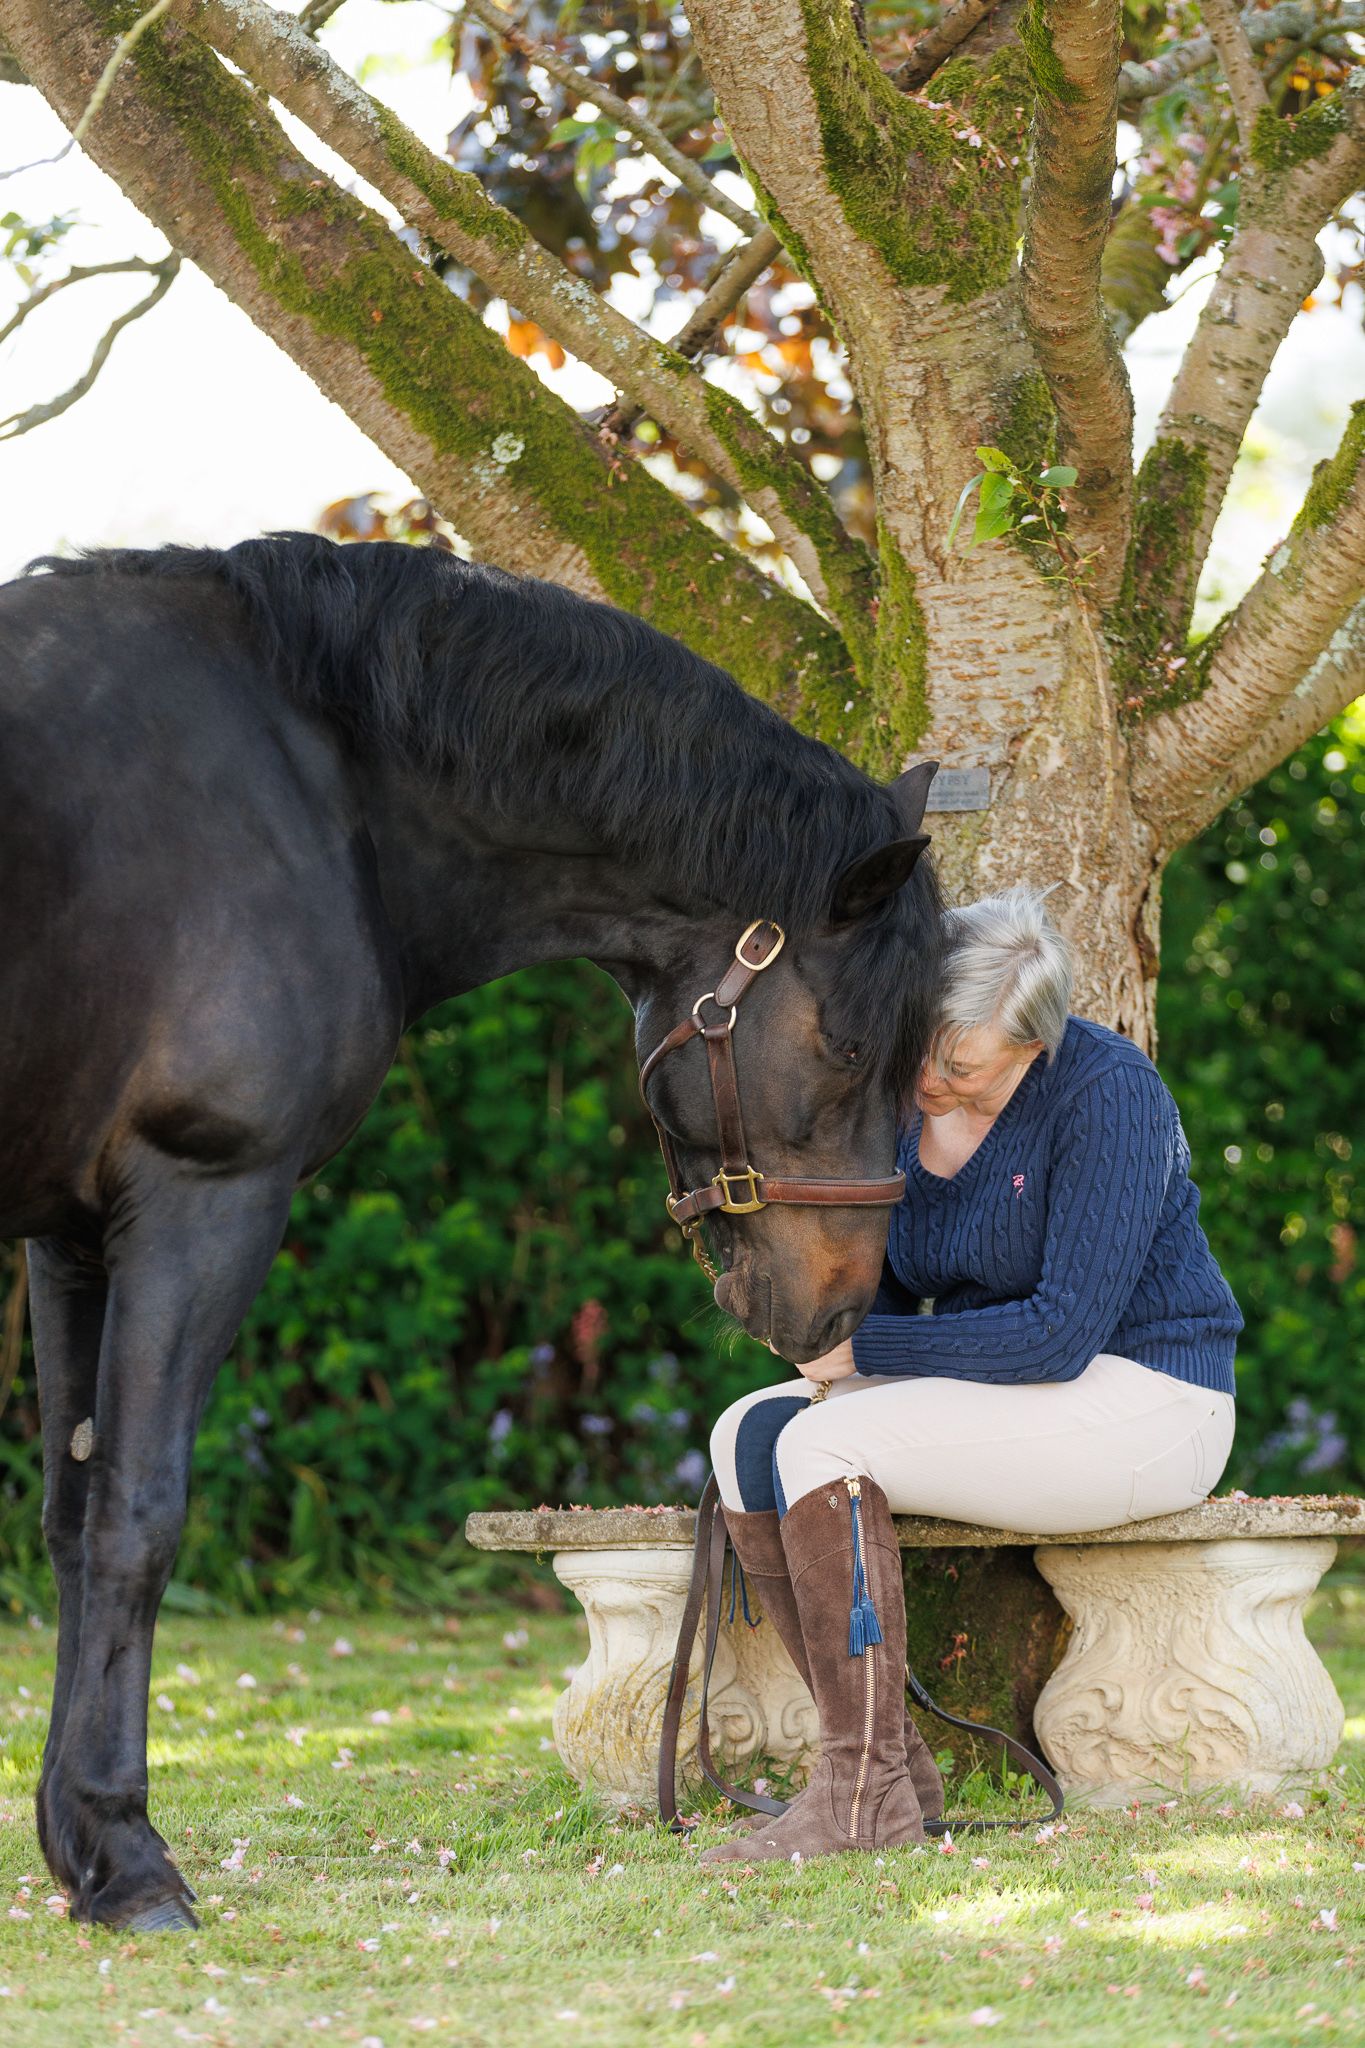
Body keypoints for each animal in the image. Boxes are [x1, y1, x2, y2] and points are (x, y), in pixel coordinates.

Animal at [0, 532, 942, 1931]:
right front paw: (128, 1856)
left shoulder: (70, 1232)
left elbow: (71, 1517)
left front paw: (77, 1843)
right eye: (847, 1046)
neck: (314, 771)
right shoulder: (199, 1196)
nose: (839, 1305)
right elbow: (137, 1514)